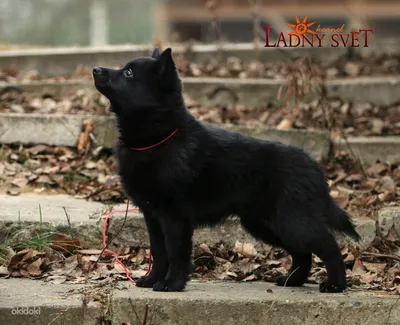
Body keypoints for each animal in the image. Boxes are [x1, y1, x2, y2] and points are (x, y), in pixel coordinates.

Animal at [92, 46, 360, 292]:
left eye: (128, 73)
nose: (95, 69)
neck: (160, 138)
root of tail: (314, 166)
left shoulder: (175, 217)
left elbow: (176, 254)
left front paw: (172, 284)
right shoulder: (153, 217)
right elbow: (159, 253)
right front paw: (152, 279)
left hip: (291, 221)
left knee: (329, 246)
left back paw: (335, 285)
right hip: (266, 223)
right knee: (302, 253)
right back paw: (292, 281)